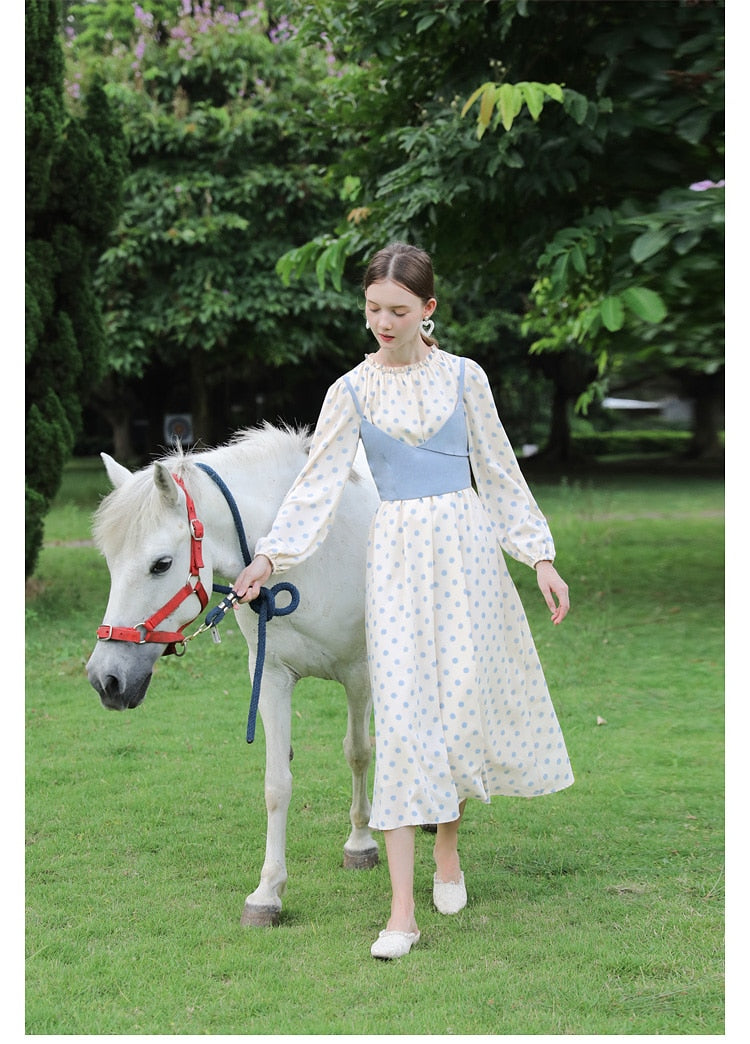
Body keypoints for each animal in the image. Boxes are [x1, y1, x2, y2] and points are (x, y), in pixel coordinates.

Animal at [86, 423, 381, 926]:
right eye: (109, 562)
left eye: (161, 564)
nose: (106, 679)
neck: (304, 549)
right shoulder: (271, 677)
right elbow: (277, 784)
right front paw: (267, 893)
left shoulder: (358, 674)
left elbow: (358, 753)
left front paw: (360, 843)